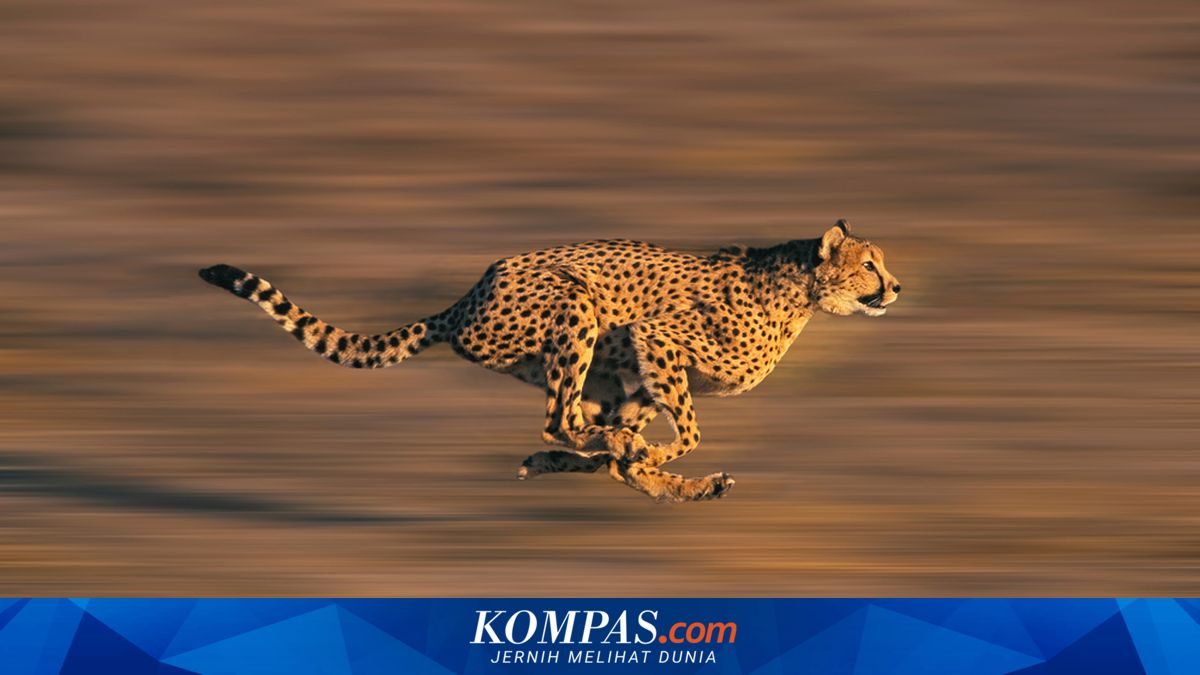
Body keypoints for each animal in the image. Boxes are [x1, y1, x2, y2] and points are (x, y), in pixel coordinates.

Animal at [199, 220, 901, 503]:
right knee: (562, 421)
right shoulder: (656, 338)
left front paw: (655, 467)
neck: (803, 291)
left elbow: (641, 449)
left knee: (580, 434)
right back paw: (610, 453)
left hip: (601, 365)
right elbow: (689, 431)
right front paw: (654, 454)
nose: (895, 287)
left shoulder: (640, 367)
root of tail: (470, 293)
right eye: (869, 264)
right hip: (575, 305)